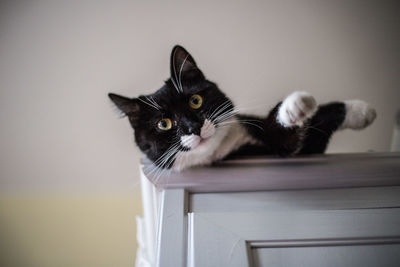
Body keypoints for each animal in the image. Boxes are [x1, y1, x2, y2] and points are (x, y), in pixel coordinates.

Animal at [108, 45, 376, 172]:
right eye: (163, 124)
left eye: (195, 100)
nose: (193, 127)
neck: (227, 149)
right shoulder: (283, 146)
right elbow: (289, 137)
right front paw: (295, 107)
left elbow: (318, 123)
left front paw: (361, 110)